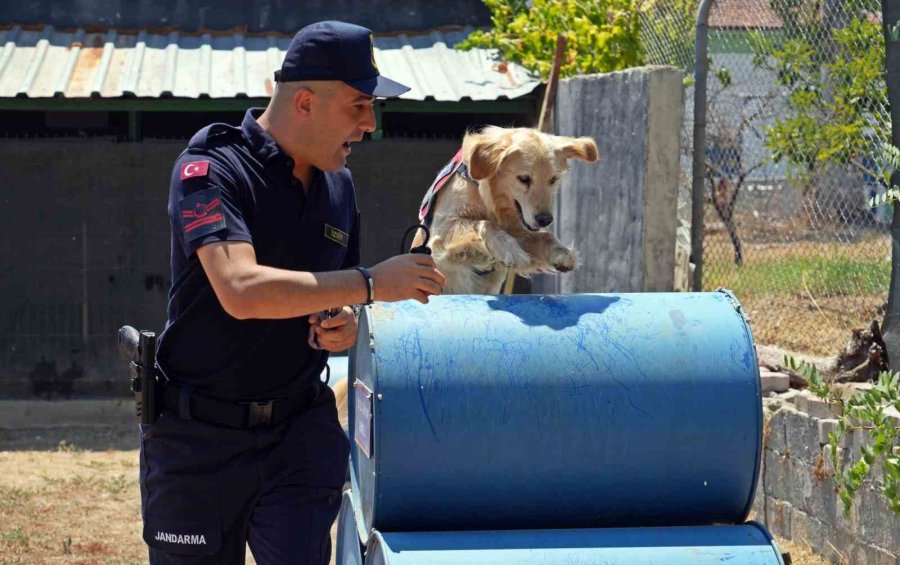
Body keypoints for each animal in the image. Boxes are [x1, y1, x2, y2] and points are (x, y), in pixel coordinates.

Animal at [414, 125, 596, 294]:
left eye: (553, 179)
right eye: (524, 178)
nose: (545, 219)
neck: (490, 199)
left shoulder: (519, 226)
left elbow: (544, 235)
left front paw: (561, 253)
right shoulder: (441, 233)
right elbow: (485, 224)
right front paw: (510, 249)